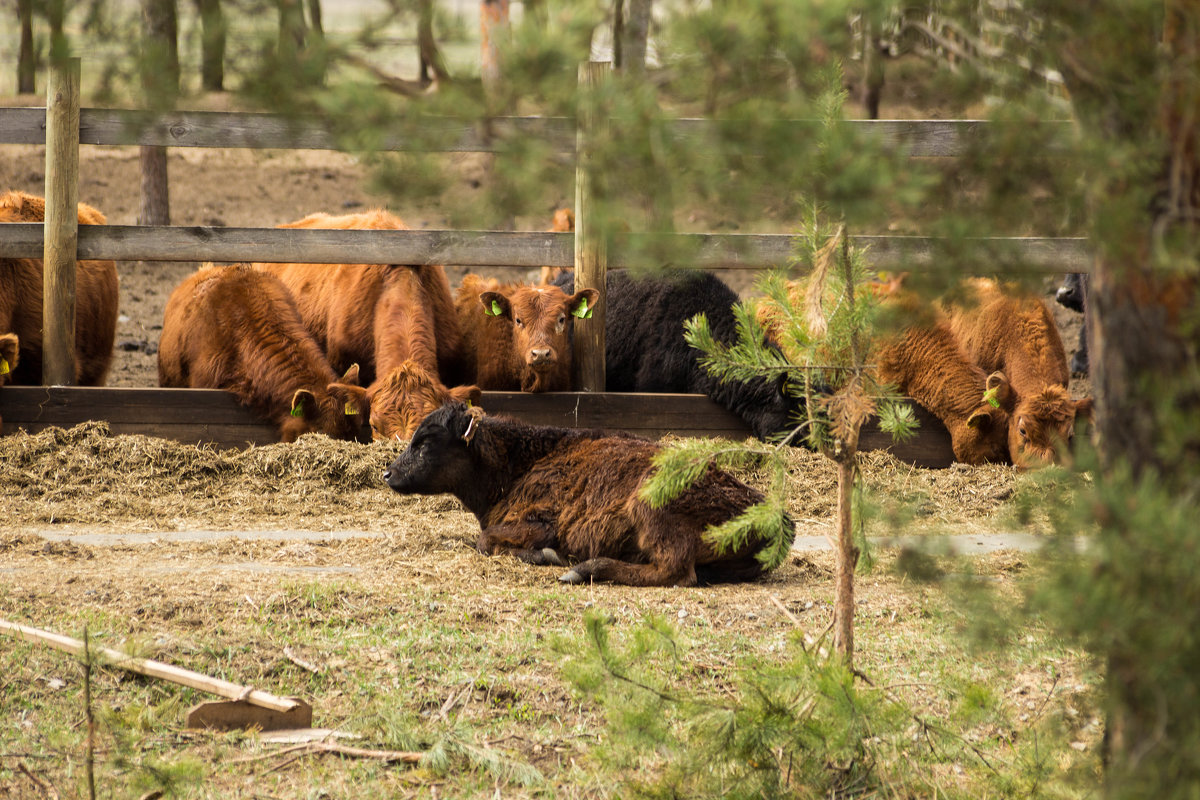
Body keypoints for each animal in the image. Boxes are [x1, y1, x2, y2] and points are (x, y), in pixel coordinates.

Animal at [384, 402, 796, 585]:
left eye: (426, 441)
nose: (389, 473)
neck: (522, 461)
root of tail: (777, 516)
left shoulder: (541, 522)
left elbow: (486, 541)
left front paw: (548, 556)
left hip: (650, 510)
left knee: (677, 571)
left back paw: (582, 570)